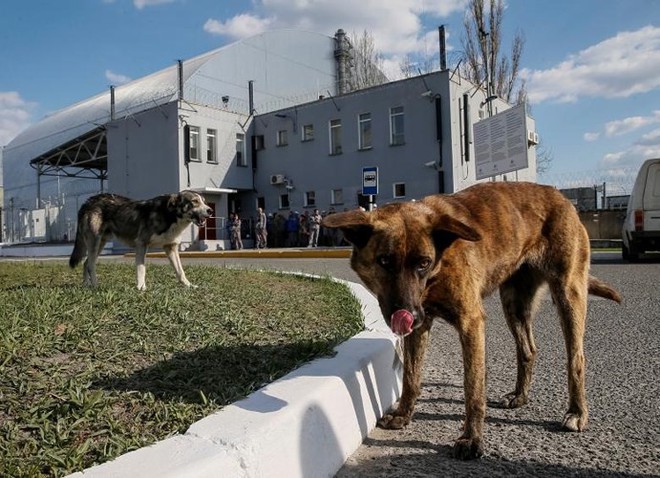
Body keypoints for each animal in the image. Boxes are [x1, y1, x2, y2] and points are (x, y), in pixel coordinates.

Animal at [69, 190, 211, 288]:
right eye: (194, 201)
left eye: (204, 201)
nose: (210, 210)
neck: (170, 215)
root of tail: (87, 201)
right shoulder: (142, 244)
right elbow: (141, 268)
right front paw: (141, 287)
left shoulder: (171, 248)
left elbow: (180, 271)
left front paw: (189, 285)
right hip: (94, 241)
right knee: (90, 265)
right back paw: (95, 286)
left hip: (100, 243)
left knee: (86, 263)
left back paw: (86, 285)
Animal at [322, 182, 620, 460]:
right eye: (384, 261)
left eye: (423, 263)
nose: (410, 315)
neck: (438, 267)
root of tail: (560, 196)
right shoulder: (420, 327)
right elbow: (411, 376)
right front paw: (403, 414)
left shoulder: (471, 323)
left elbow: (473, 388)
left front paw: (472, 439)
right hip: (514, 303)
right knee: (527, 349)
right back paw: (520, 396)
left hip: (568, 294)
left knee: (576, 358)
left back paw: (577, 412)